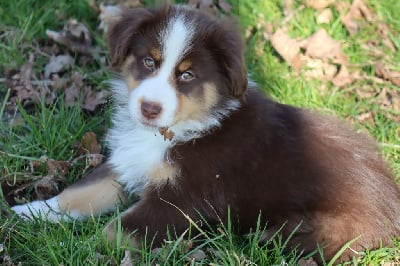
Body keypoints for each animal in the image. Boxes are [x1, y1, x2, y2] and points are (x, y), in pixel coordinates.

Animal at [11, 4, 400, 264]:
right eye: (149, 61)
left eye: (187, 75)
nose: (148, 109)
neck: (175, 132)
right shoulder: (129, 164)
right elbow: (80, 192)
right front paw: (29, 213)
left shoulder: (181, 201)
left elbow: (113, 231)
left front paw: (69, 247)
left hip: (318, 230)